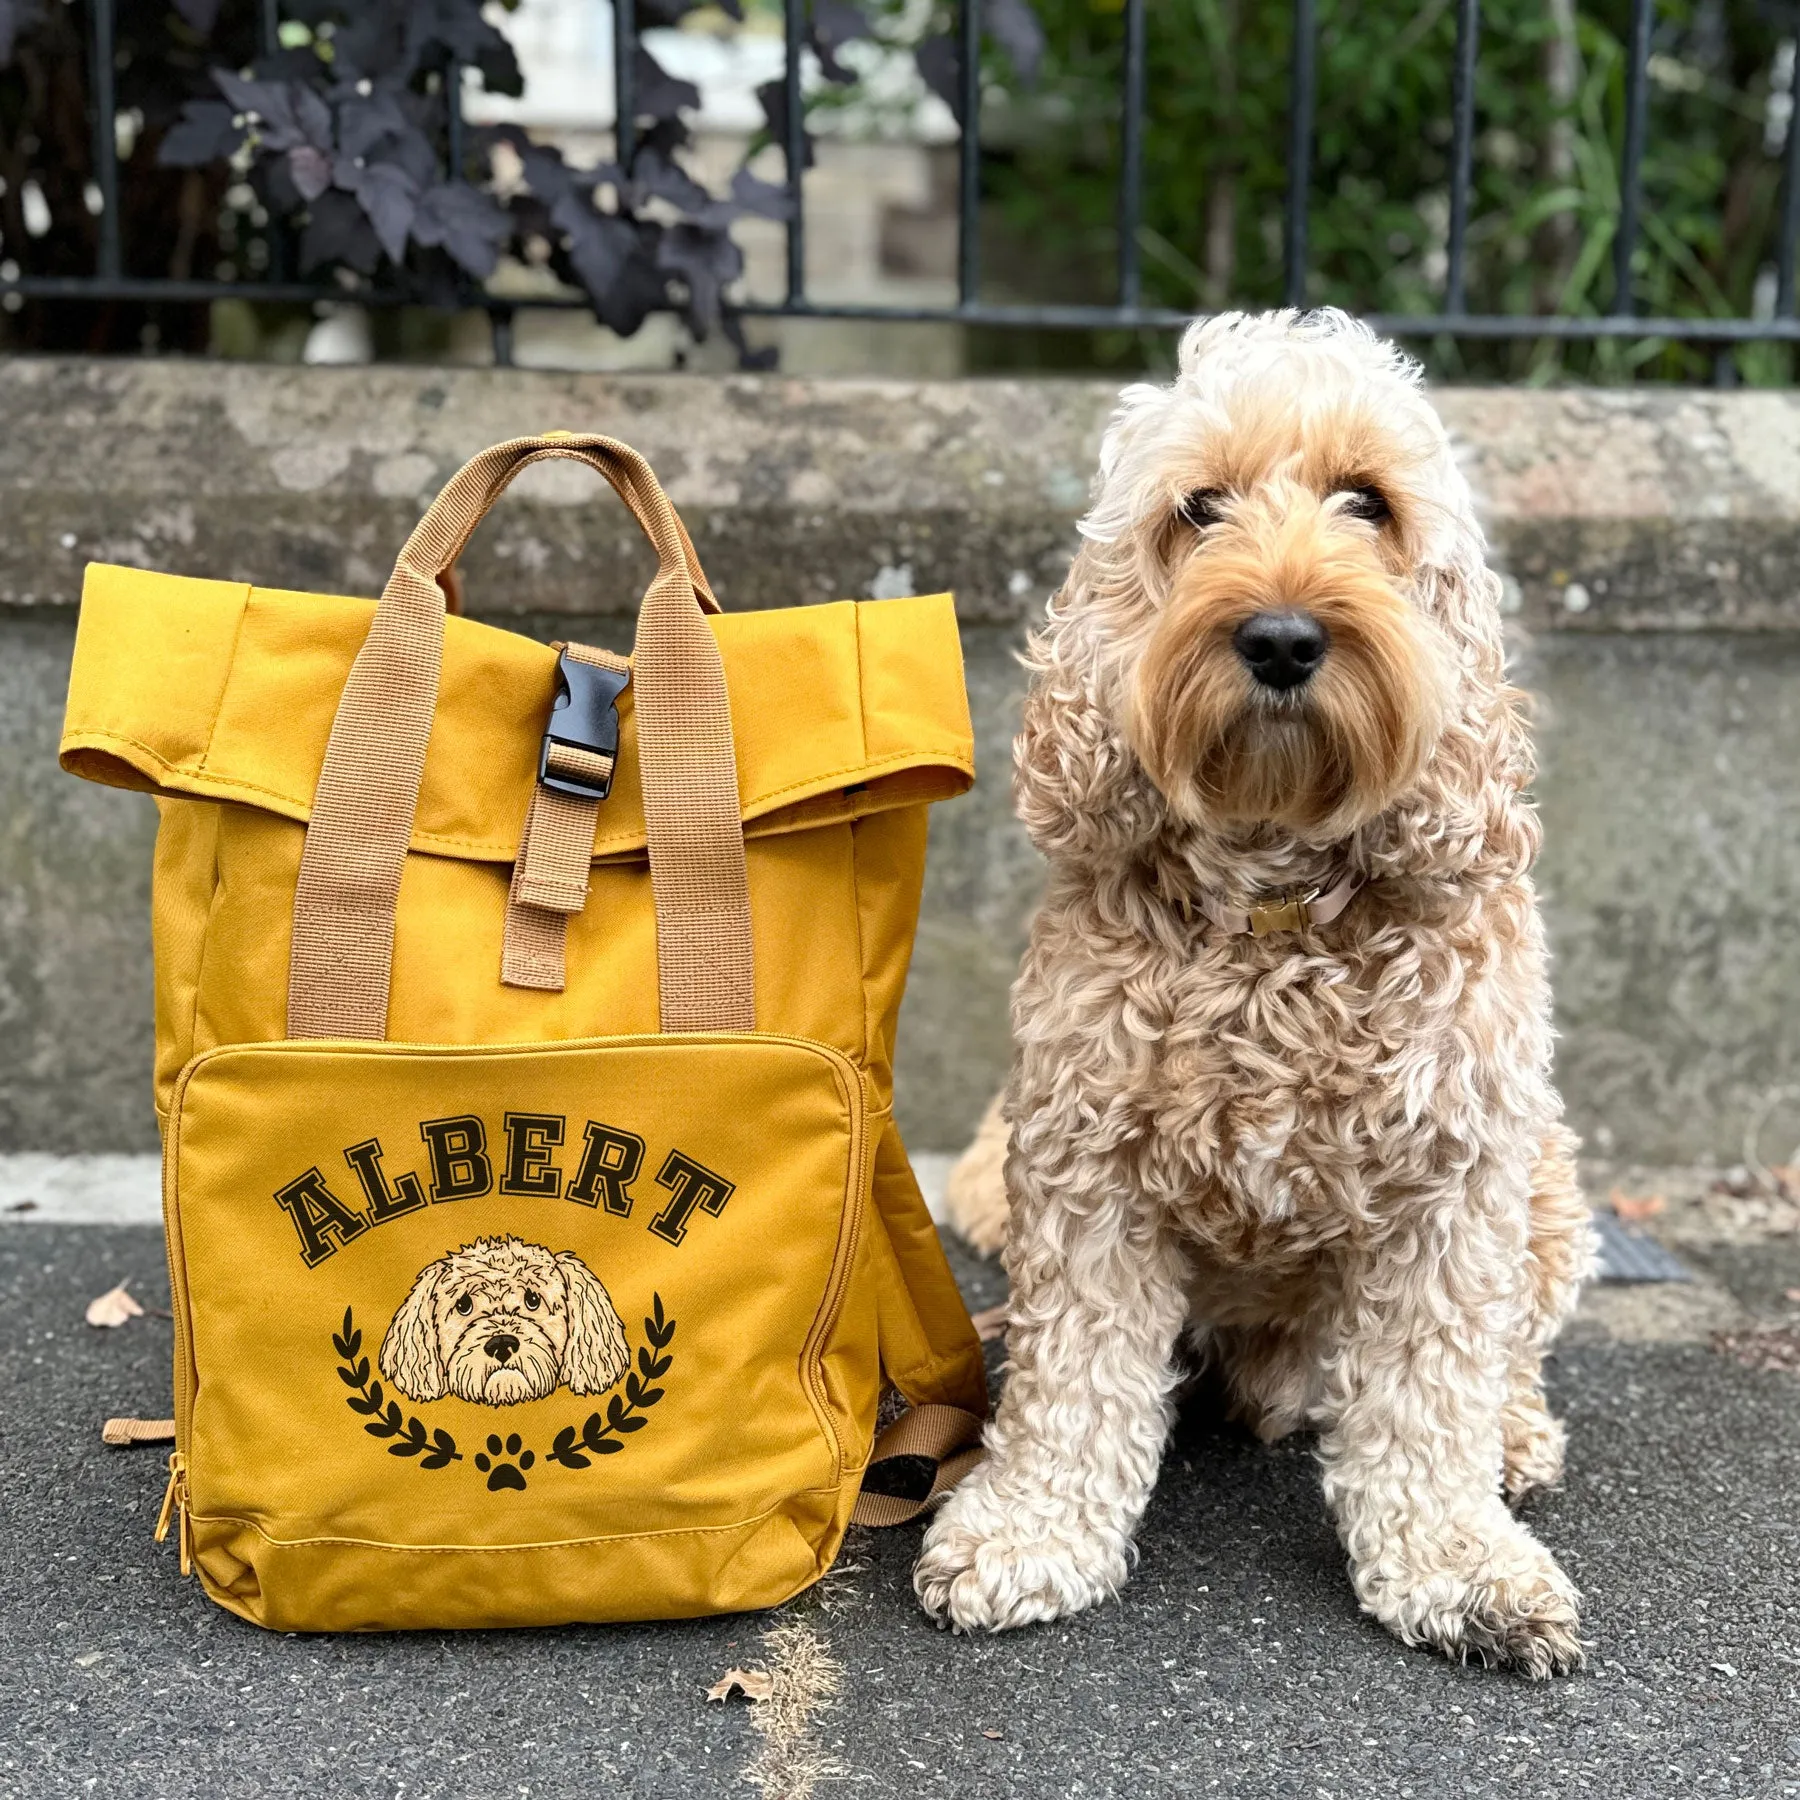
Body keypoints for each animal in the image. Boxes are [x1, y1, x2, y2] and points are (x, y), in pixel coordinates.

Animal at [921, 309, 1598, 1670]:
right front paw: (1031, 1528)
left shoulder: (1456, 1182)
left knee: (1503, 1356)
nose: (1282, 637)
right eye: (1202, 508)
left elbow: (1434, 1391)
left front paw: (1463, 1565)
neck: (1275, 912)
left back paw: (1510, 1434)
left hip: (1546, 1184)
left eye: (1368, 501)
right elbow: (1074, 1380)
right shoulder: (1085, 1167)